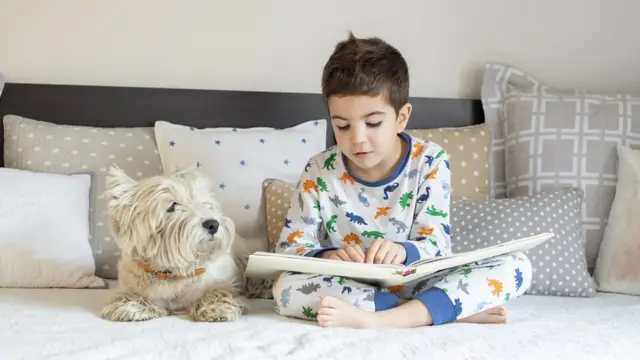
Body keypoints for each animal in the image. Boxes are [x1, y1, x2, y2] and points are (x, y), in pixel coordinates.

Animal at [99, 167, 251, 322]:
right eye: (172, 206)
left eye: (205, 204)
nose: (213, 224)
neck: (172, 273)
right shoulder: (128, 286)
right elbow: (129, 296)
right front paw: (131, 308)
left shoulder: (226, 282)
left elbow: (219, 291)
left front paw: (217, 307)